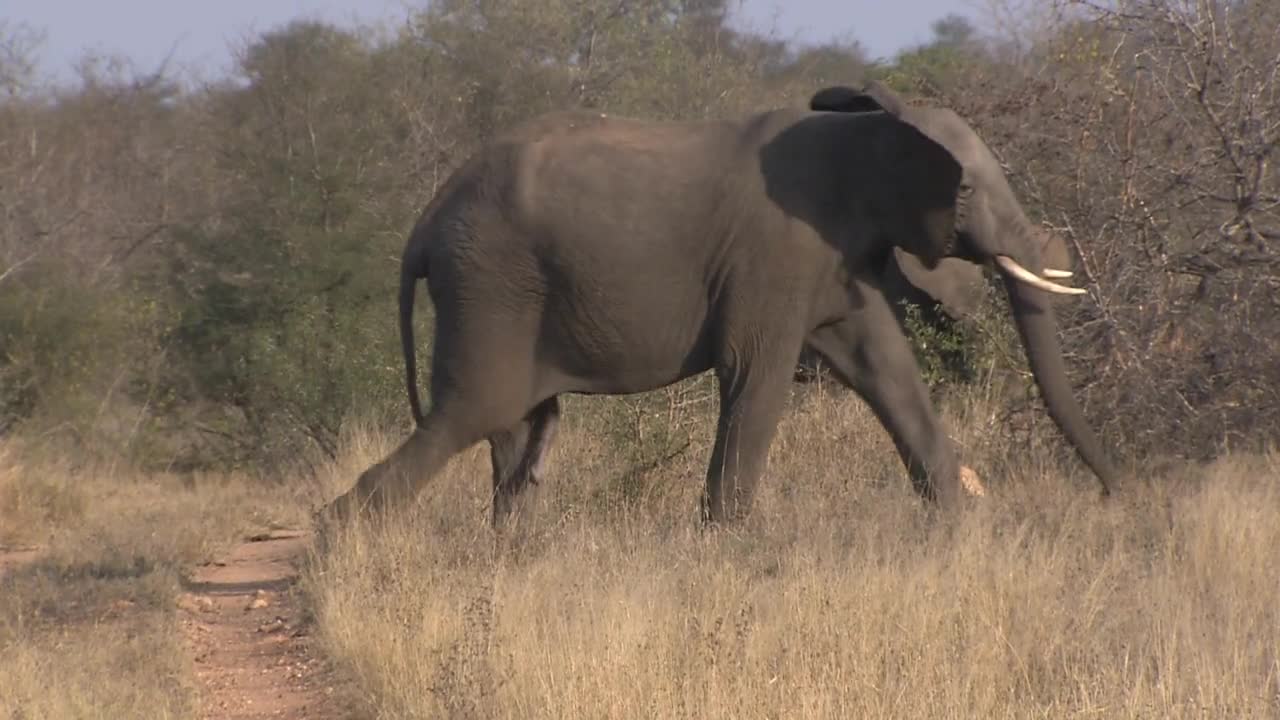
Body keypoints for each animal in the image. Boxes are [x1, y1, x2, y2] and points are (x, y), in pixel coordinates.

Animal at [322, 81, 1121, 527]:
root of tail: (424, 224)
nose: (1120, 494)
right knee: (472, 415)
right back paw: (340, 542)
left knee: (518, 437)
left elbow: (886, 369)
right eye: (969, 191)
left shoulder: (834, 258)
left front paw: (958, 529)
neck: (869, 125)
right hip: (490, 284)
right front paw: (727, 548)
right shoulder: (776, 253)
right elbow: (753, 374)